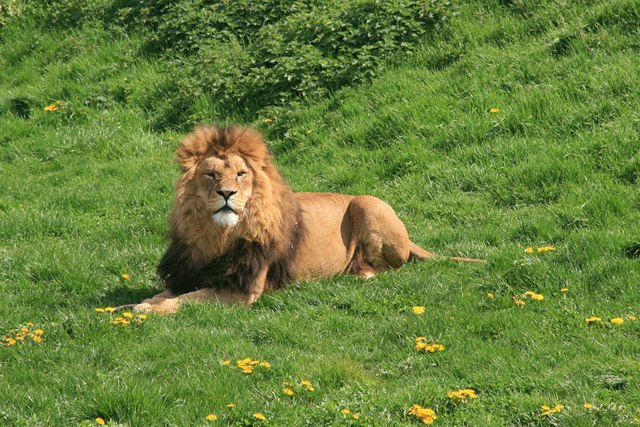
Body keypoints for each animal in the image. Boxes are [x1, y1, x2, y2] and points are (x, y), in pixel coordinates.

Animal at [136, 125, 484, 312]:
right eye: (210, 175)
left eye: (241, 174)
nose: (226, 193)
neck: (216, 236)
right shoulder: (188, 272)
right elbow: (166, 294)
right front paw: (140, 305)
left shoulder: (243, 291)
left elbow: (187, 300)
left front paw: (148, 311)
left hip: (367, 203)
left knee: (390, 269)